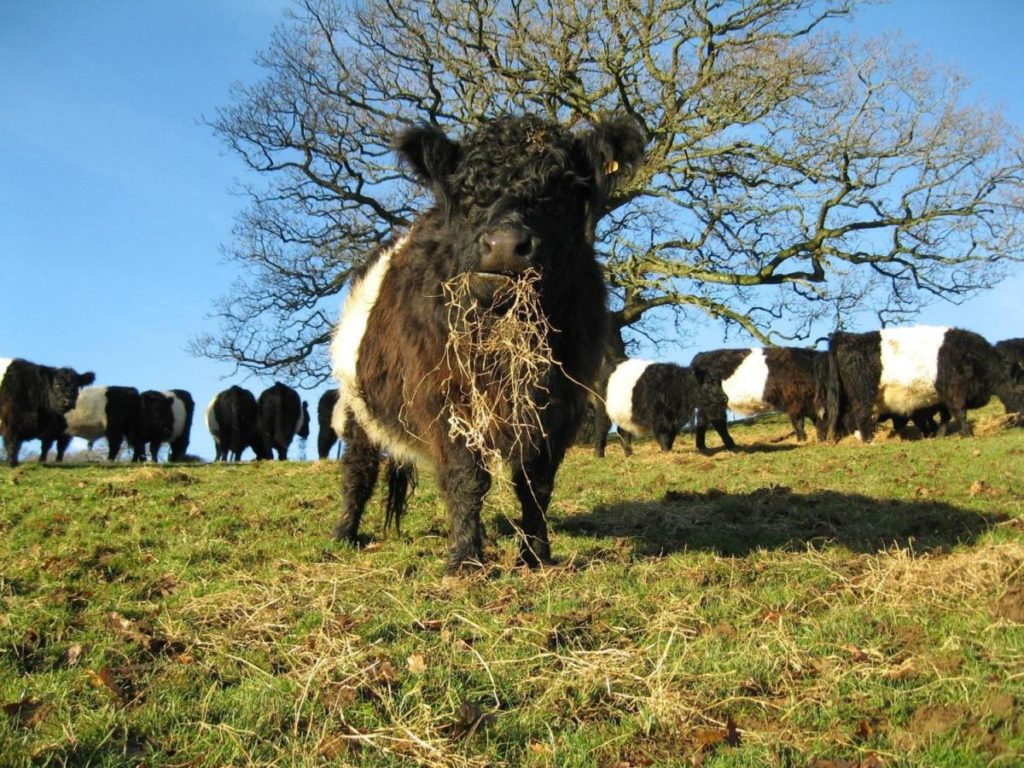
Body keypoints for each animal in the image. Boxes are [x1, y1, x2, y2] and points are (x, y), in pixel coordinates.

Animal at [327, 112, 643, 573]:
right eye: (467, 193)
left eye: (560, 191)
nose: (506, 246)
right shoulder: (446, 397)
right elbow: (467, 477)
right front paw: (465, 560)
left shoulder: (557, 405)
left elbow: (536, 484)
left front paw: (535, 556)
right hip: (356, 406)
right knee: (359, 468)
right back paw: (344, 535)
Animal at [593, 360, 729, 460]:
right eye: (709, 383)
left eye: (720, 383)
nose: (725, 398)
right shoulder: (659, 418)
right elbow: (663, 437)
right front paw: (666, 454)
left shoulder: (674, 422)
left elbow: (670, 438)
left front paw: (668, 451)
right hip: (603, 409)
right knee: (602, 429)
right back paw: (599, 455)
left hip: (627, 415)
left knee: (623, 432)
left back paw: (630, 455)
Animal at [684, 348, 827, 448]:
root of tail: (702, 355)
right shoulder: (796, 401)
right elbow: (799, 422)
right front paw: (802, 440)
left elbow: (815, 420)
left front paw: (820, 437)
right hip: (715, 401)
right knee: (718, 422)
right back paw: (732, 445)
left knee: (702, 421)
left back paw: (702, 447)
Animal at [819, 325, 1024, 444]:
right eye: (1022, 389)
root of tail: (846, 337)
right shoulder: (955, 391)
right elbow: (960, 412)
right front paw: (967, 435)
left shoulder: (942, 396)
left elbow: (946, 416)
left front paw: (940, 435)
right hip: (864, 393)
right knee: (860, 415)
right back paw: (868, 440)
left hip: (847, 395)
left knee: (845, 417)